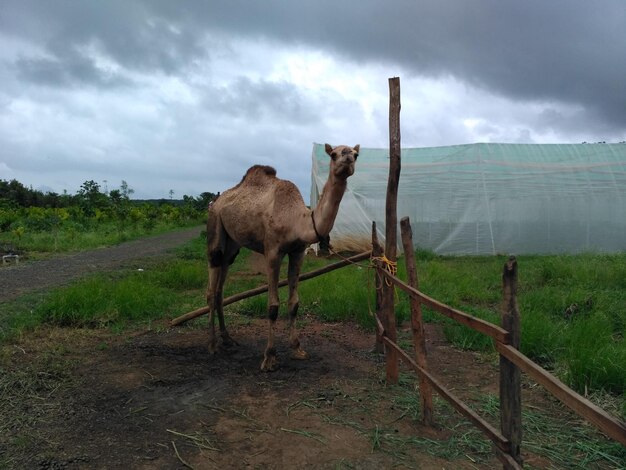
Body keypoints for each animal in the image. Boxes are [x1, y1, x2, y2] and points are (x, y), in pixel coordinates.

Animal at [206, 143, 356, 370]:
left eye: (356, 154)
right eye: (333, 154)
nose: (347, 158)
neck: (296, 220)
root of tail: (216, 201)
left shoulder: (297, 252)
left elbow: (294, 303)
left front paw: (298, 349)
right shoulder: (272, 252)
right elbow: (273, 306)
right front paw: (269, 357)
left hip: (232, 243)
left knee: (220, 285)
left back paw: (228, 339)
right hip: (215, 223)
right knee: (212, 281)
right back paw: (213, 344)